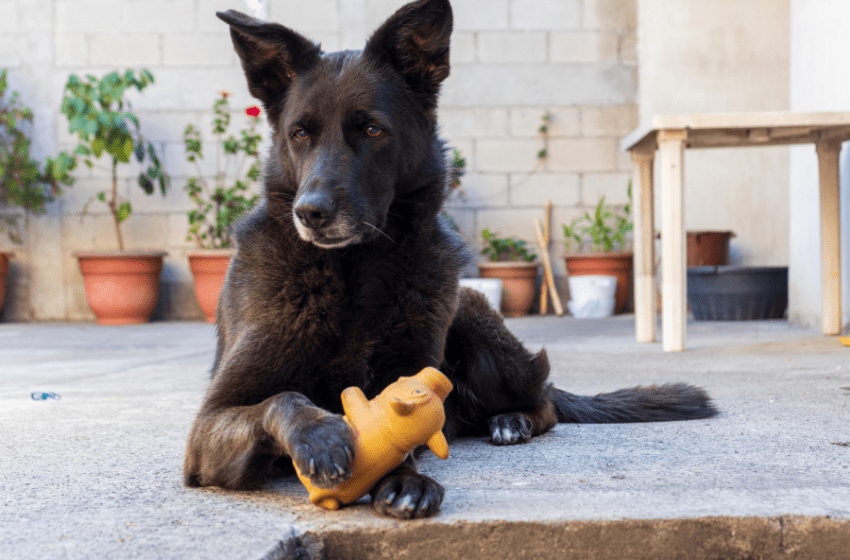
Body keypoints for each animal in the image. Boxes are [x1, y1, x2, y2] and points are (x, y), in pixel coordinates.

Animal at [186, 0, 716, 520]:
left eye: (372, 129)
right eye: (299, 134)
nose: (310, 213)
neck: (357, 272)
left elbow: (400, 438)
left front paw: (404, 479)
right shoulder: (206, 428)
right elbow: (283, 398)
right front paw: (321, 435)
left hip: (473, 315)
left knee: (544, 399)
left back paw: (512, 421)